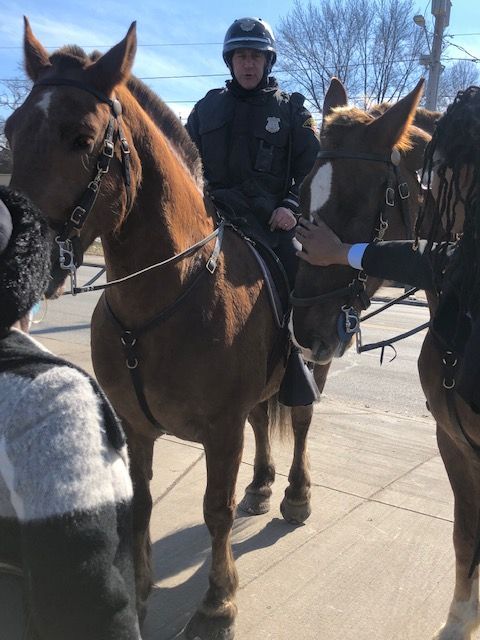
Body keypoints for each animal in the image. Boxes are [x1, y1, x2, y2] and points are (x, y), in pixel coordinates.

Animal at [5, 20, 327, 639]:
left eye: (82, 138)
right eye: (10, 131)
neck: (166, 295)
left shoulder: (221, 429)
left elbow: (214, 510)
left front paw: (217, 604)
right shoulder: (135, 425)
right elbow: (143, 505)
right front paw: (141, 593)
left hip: (312, 364)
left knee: (298, 420)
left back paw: (295, 494)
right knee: (263, 418)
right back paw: (261, 485)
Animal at [292, 80, 480, 639]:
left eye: (357, 199)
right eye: (301, 193)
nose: (304, 332)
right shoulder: (454, 446)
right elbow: (466, 537)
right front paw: (460, 620)